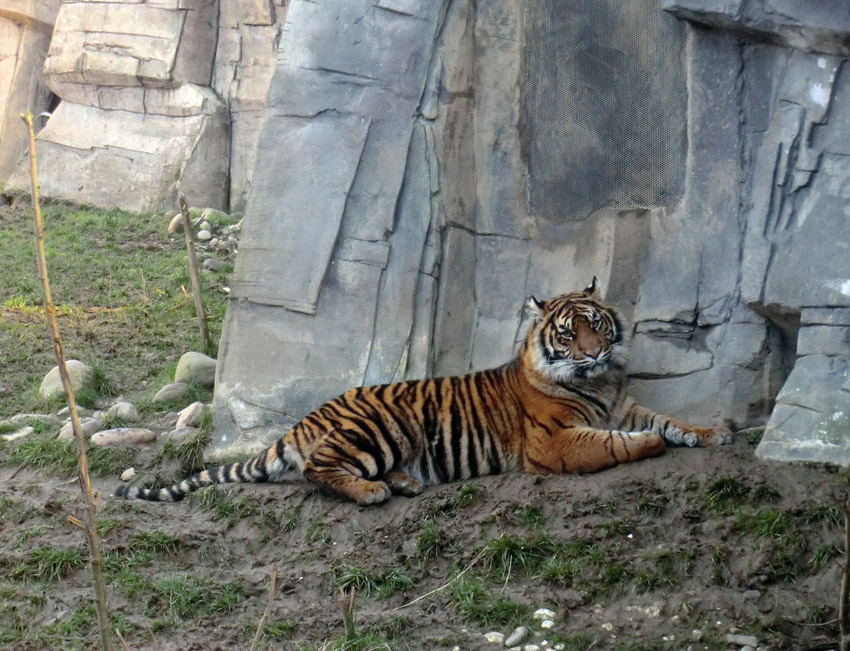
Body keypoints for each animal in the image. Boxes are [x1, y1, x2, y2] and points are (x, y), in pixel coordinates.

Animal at [116, 278, 732, 506]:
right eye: (566, 333)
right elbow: (618, 443)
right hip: (379, 428)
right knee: (318, 467)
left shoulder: (624, 405)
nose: (594, 352)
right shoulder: (554, 441)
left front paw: (715, 431)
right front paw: (650, 447)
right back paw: (372, 492)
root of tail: (309, 417)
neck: (598, 383)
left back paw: (406, 482)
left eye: (597, 324)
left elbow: (669, 420)